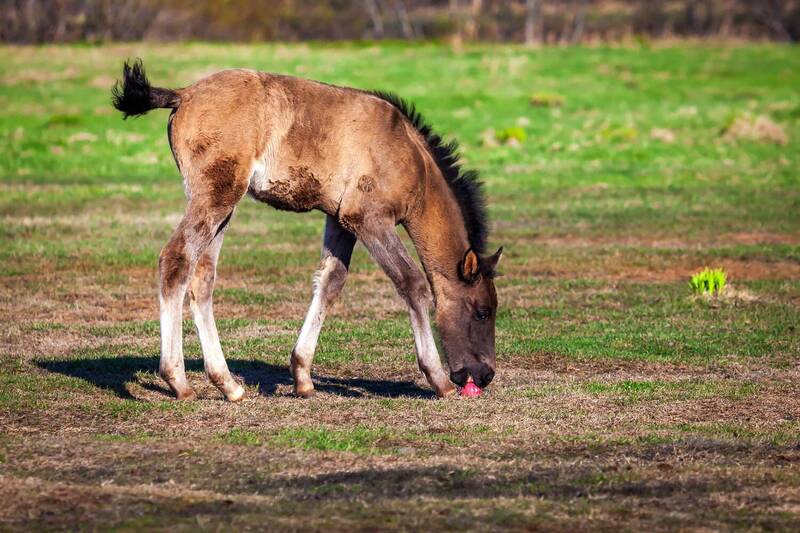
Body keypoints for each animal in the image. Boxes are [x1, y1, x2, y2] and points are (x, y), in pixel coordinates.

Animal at [112, 59, 502, 401]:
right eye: (482, 311)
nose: (484, 375)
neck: (406, 154)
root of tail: (184, 94)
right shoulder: (371, 220)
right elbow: (413, 284)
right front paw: (438, 379)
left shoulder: (341, 220)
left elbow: (331, 283)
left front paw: (302, 376)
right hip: (215, 198)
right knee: (176, 260)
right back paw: (178, 381)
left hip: (222, 207)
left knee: (202, 278)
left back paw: (229, 385)